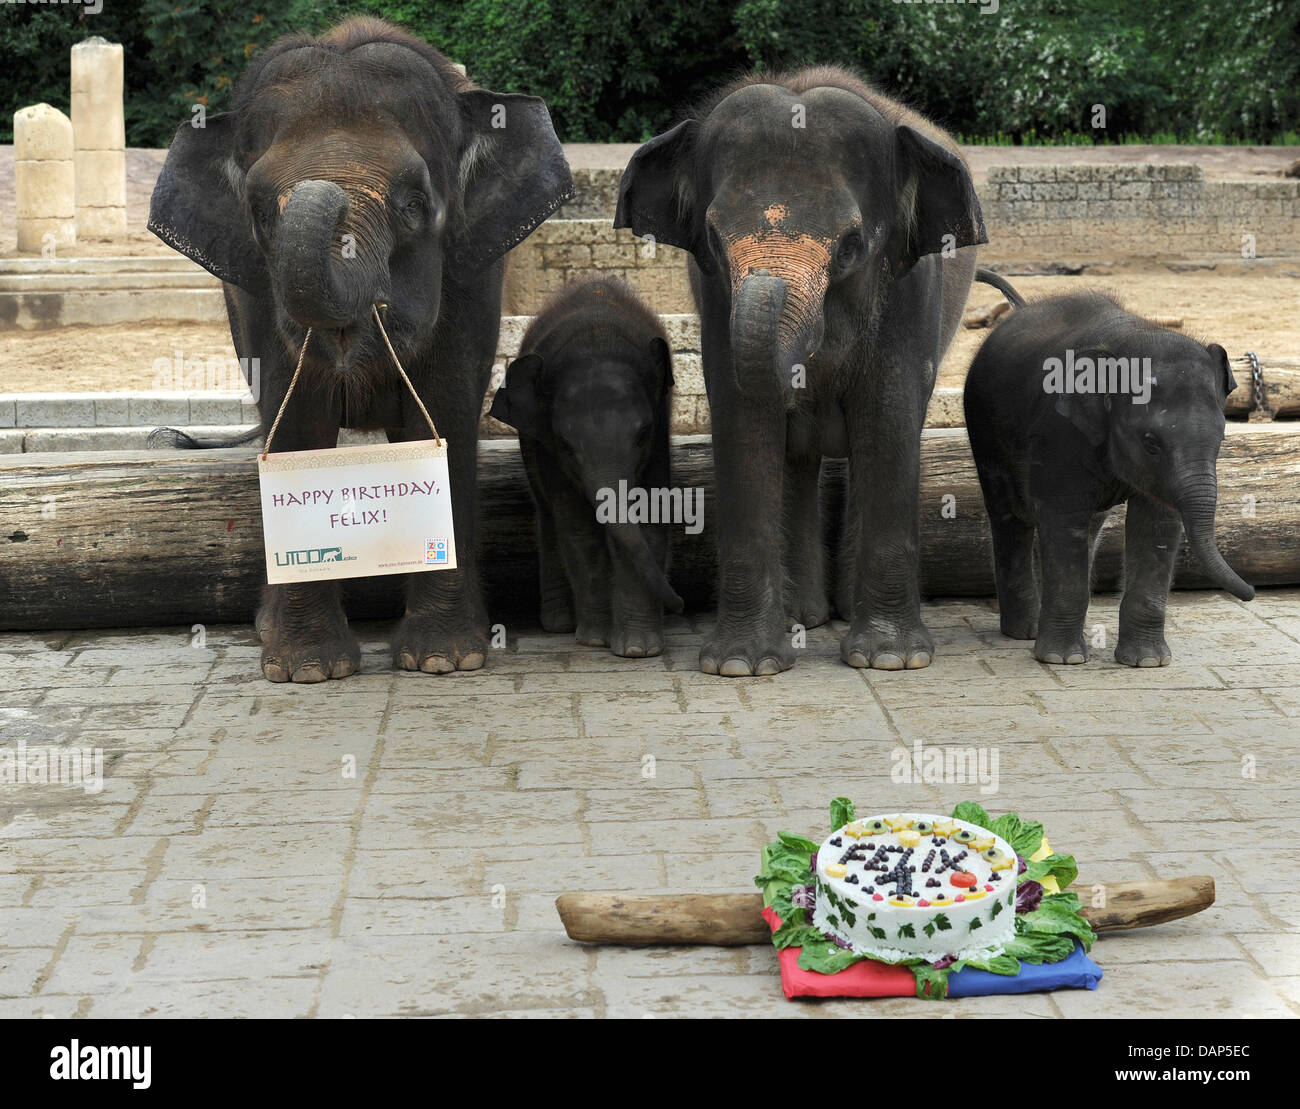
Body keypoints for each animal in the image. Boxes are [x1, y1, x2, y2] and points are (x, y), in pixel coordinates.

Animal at [146, 18, 572, 682]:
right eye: (259, 211)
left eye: (415, 205)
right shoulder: (256, 300)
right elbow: (296, 421)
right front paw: (306, 671)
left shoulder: (473, 278)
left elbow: (441, 413)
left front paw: (444, 660)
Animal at [489, 277, 683, 657]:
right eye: (565, 444)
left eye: (643, 434)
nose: (681, 605)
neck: (596, 340)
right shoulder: (545, 442)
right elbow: (578, 528)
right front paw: (596, 640)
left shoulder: (661, 430)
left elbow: (650, 517)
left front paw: (636, 649)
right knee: (549, 516)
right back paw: (560, 624)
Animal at [614, 67, 986, 675]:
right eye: (713, 239)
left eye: (852, 246)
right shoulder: (716, 299)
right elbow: (744, 418)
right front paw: (742, 665)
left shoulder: (908, 287)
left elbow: (888, 415)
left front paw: (890, 660)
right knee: (798, 458)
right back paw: (805, 618)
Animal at [963, 278, 1254, 667]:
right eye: (1150, 442)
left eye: (1222, 437)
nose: (1251, 592)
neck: (1136, 335)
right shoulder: (1058, 434)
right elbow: (1061, 516)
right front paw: (1062, 660)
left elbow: (1155, 524)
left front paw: (1148, 662)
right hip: (986, 434)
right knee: (1011, 517)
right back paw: (1025, 633)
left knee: (1088, 526)